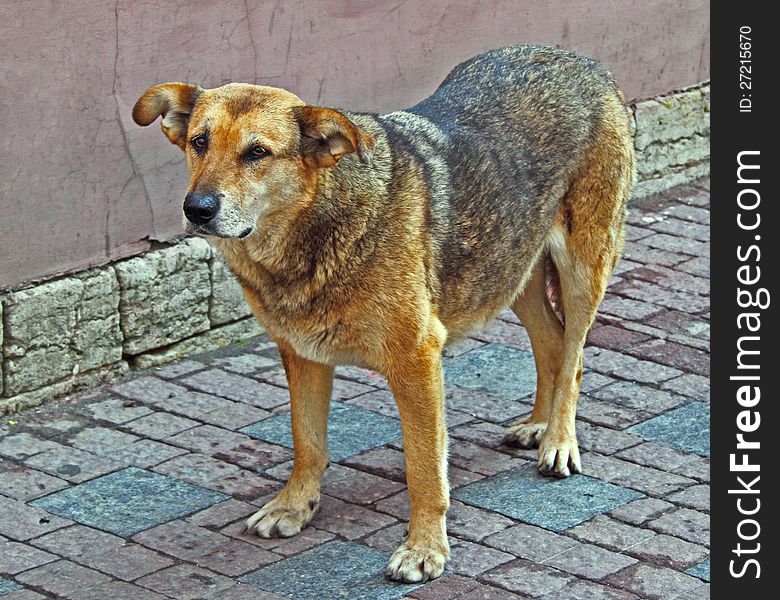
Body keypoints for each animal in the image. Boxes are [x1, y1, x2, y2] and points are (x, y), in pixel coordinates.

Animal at [134, 45, 632, 580]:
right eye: (199, 143)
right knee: (552, 341)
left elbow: (425, 471)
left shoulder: (416, 360)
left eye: (257, 153)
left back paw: (559, 440)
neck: (317, 231)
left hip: (581, 267)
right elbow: (307, 442)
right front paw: (294, 507)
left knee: (574, 354)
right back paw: (539, 425)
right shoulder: (302, 355)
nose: (197, 209)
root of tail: (578, 59)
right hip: (508, 267)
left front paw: (425, 548)